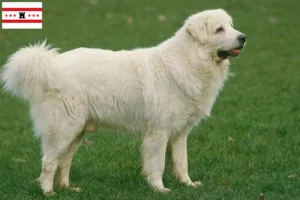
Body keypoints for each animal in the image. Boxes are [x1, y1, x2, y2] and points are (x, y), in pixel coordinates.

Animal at [1, 8, 246, 195]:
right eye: (219, 29)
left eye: (231, 25)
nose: (243, 37)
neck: (189, 59)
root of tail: (50, 66)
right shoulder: (158, 133)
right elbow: (157, 165)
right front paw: (160, 189)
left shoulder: (179, 133)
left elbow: (181, 162)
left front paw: (188, 185)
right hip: (63, 130)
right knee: (49, 162)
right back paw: (48, 192)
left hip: (76, 132)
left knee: (64, 162)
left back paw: (68, 189)